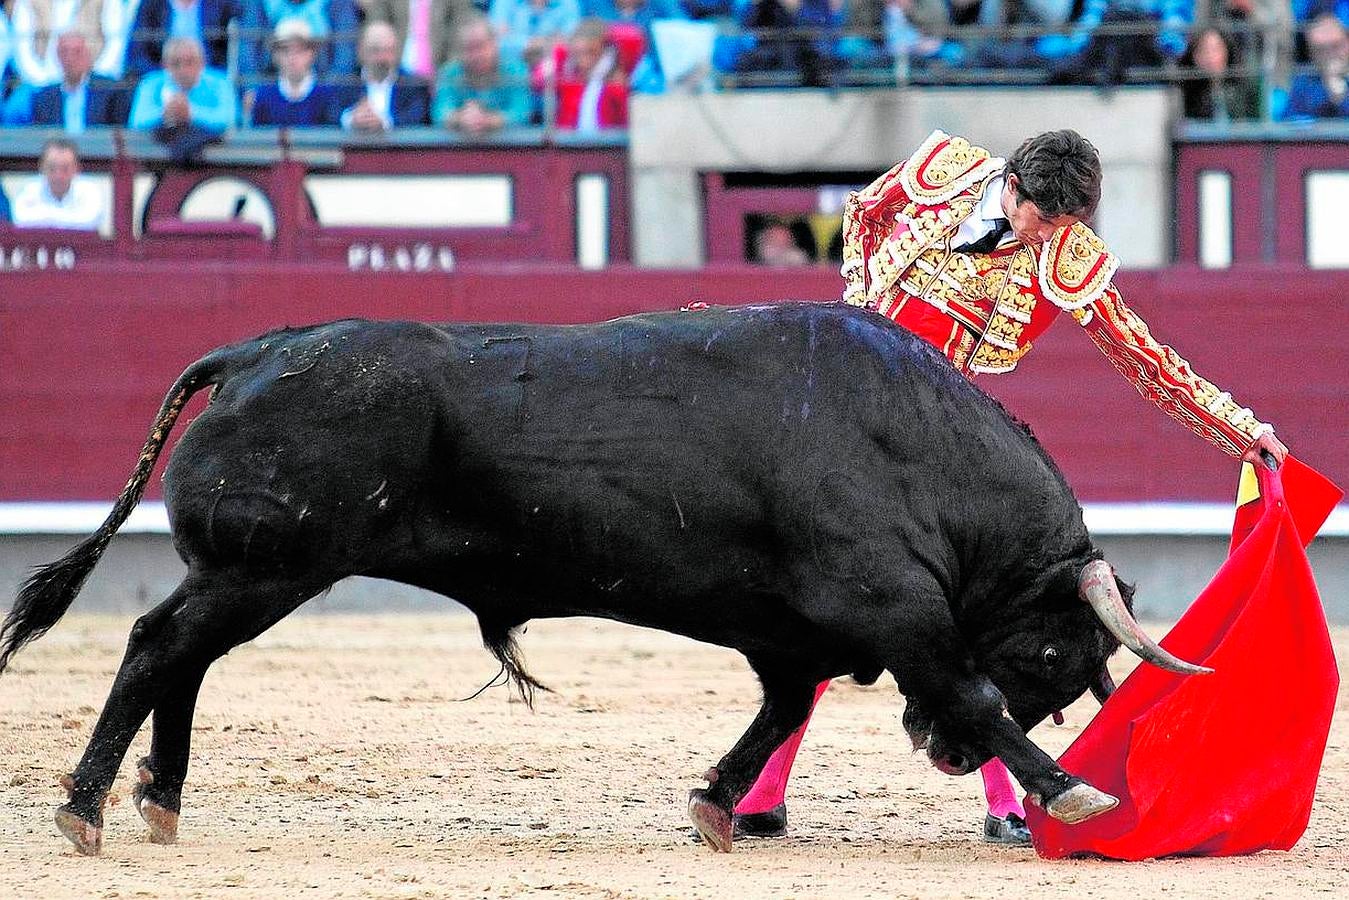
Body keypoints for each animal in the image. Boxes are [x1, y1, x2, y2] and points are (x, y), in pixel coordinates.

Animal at [0, 299, 1203, 858]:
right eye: (1052, 650)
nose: (938, 759)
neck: (916, 447)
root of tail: (251, 351)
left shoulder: (796, 637)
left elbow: (777, 713)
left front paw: (716, 807)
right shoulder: (891, 609)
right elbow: (974, 691)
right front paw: (1077, 792)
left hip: (247, 573)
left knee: (186, 658)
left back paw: (157, 800)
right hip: (265, 568)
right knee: (160, 645)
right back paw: (89, 807)